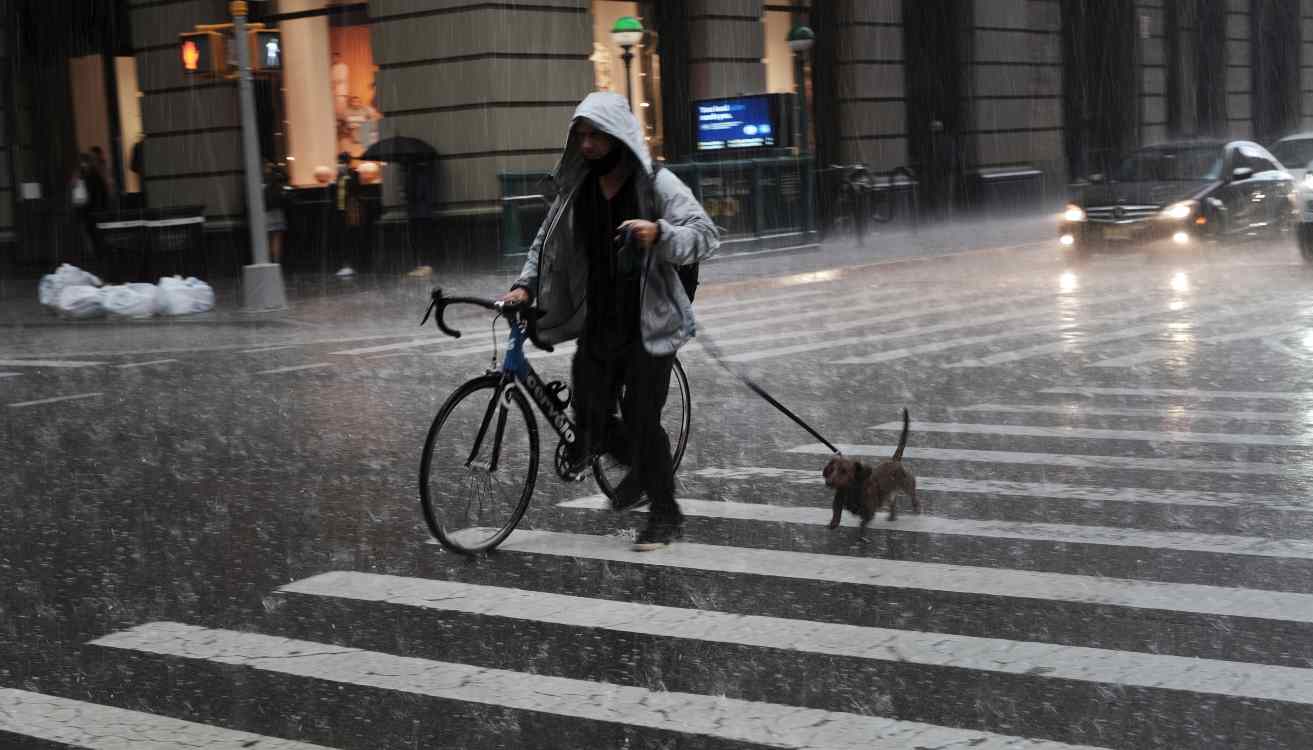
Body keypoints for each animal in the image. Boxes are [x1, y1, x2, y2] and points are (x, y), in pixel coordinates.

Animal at [819, 407, 913, 543]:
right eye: (832, 469)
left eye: (844, 471)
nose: (829, 482)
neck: (850, 489)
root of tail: (894, 460)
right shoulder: (838, 500)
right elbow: (836, 513)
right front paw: (833, 524)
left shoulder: (869, 511)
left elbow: (863, 522)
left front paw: (862, 536)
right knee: (892, 502)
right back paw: (892, 516)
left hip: (907, 483)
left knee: (913, 496)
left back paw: (916, 507)